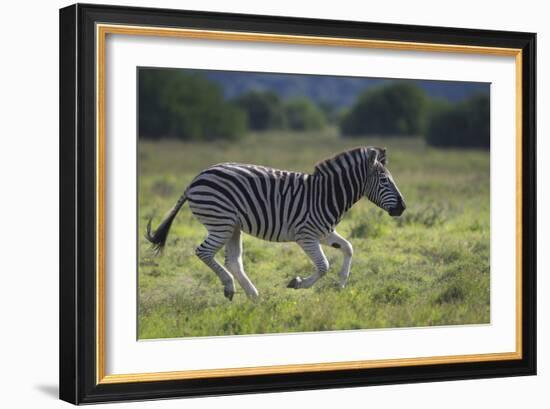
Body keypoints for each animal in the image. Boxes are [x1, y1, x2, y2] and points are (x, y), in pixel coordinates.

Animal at [146, 147, 406, 300]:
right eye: (384, 180)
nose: (402, 208)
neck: (326, 194)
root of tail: (197, 177)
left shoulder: (323, 233)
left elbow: (348, 248)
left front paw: (341, 284)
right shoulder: (306, 235)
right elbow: (323, 266)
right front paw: (298, 283)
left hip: (233, 226)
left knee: (233, 261)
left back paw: (253, 296)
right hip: (221, 222)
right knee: (204, 252)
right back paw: (230, 287)